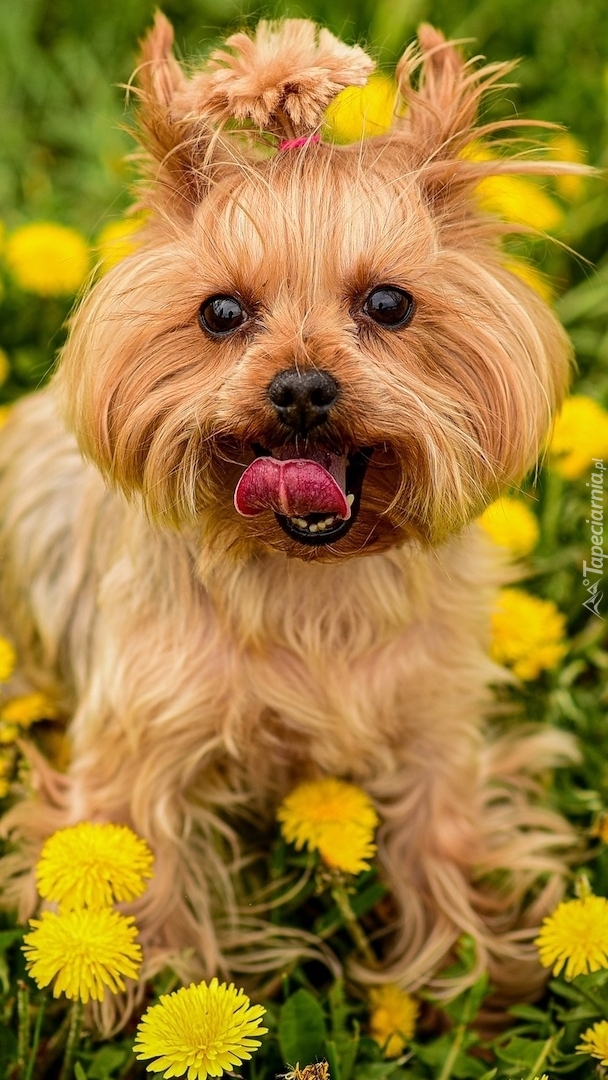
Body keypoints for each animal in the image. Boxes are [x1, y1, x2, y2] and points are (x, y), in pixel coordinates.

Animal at [0, 16, 578, 1023]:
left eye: (389, 302)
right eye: (221, 312)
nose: (302, 387)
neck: (314, 579)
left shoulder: (435, 719)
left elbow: (444, 842)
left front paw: (480, 981)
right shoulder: (140, 744)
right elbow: (137, 878)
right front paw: (139, 1002)